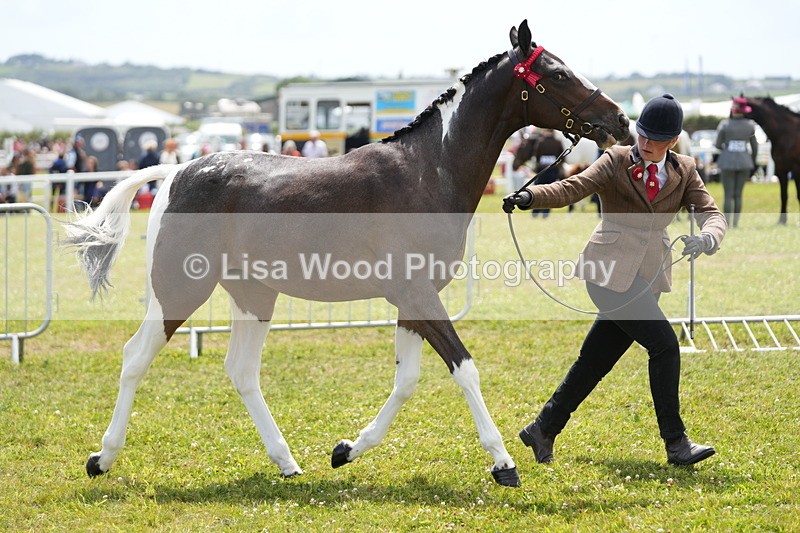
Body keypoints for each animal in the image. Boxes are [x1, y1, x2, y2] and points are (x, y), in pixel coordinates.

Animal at [64, 19, 629, 487]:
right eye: (557, 74)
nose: (620, 121)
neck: (428, 170)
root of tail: (176, 171)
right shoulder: (417, 293)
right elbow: (464, 368)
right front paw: (503, 463)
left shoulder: (413, 300)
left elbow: (407, 380)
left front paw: (346, 450)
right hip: (181, 289)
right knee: (136, 357)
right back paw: (102, 458)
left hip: (253, 295)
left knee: (241, 371)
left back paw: (288, 462)